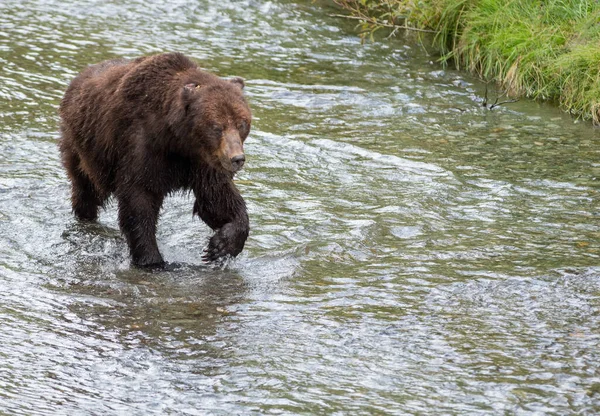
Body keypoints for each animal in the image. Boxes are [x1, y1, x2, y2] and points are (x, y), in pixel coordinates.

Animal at [58, 52, 251, 266]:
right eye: (217, 127)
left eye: (242, 123)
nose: (236, 158)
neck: (178, 141)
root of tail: (80, 76)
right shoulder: (142, 146)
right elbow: (139, 201)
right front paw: (152, 260)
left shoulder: (202, 162)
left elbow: (216, 198)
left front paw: (221, 246)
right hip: (83, 148)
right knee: (86, 189)